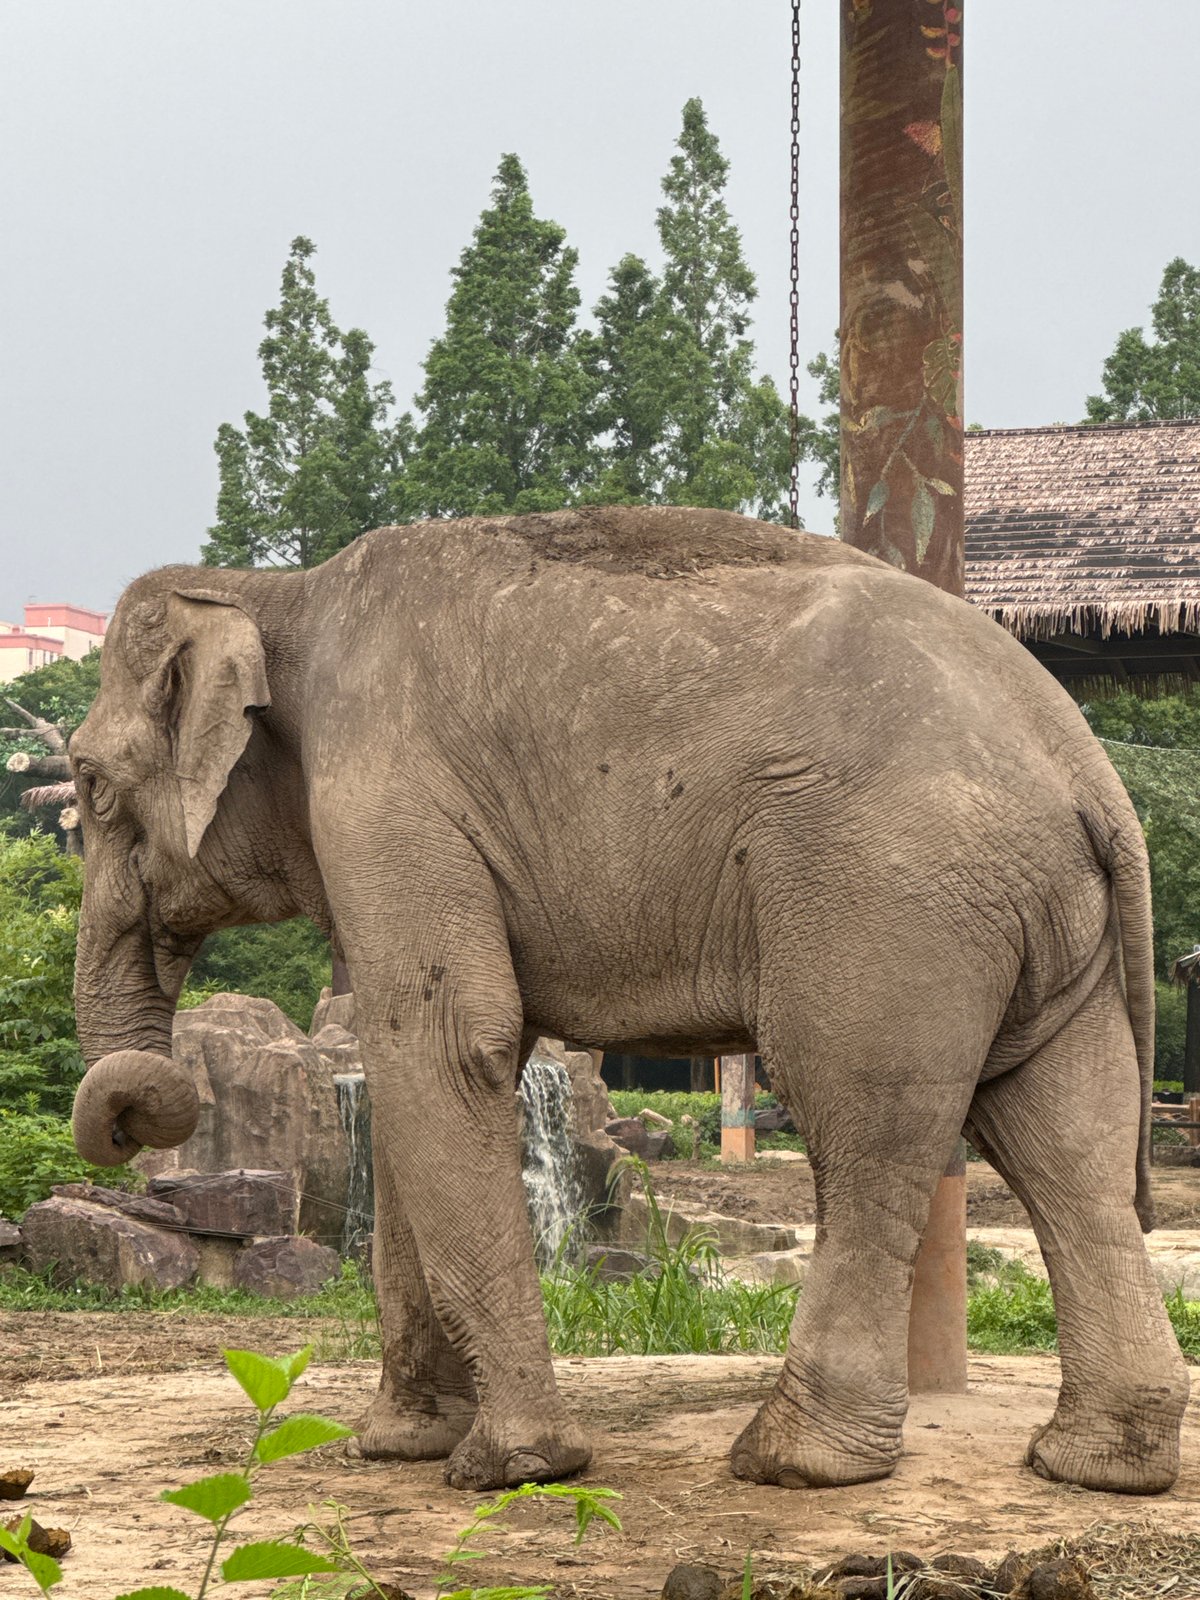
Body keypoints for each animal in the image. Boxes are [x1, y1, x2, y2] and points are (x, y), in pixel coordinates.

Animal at [68, 504, 1188, 1496]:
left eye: (86, 785)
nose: (135, 1110)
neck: (276, 590)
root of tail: (1088, 768)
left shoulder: (385, 792)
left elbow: (445, 1047)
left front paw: (511, 1470)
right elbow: (422, 1071)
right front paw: (398, 1449)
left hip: (886, 899)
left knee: (869, 1127)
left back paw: (792, 1463)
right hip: (1037, 923)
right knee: (1065, 1141)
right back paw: (1095, 1466)